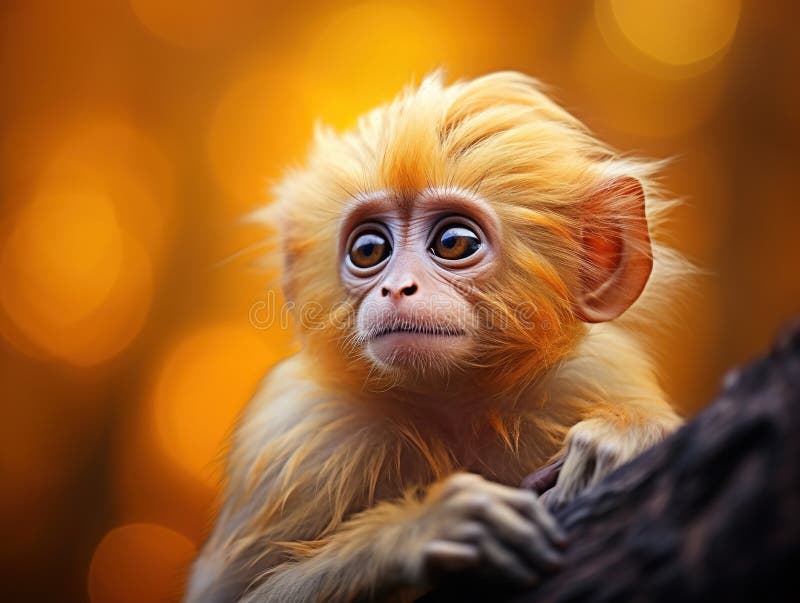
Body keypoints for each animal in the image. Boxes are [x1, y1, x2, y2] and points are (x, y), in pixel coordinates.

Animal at [184, 71, 687, 603]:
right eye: (369, 250)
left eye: (454, 243)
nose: (396, 288)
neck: (456, 407)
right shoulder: (296, 438)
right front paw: (421, 529)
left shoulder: (596, 374)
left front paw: (625, 436)